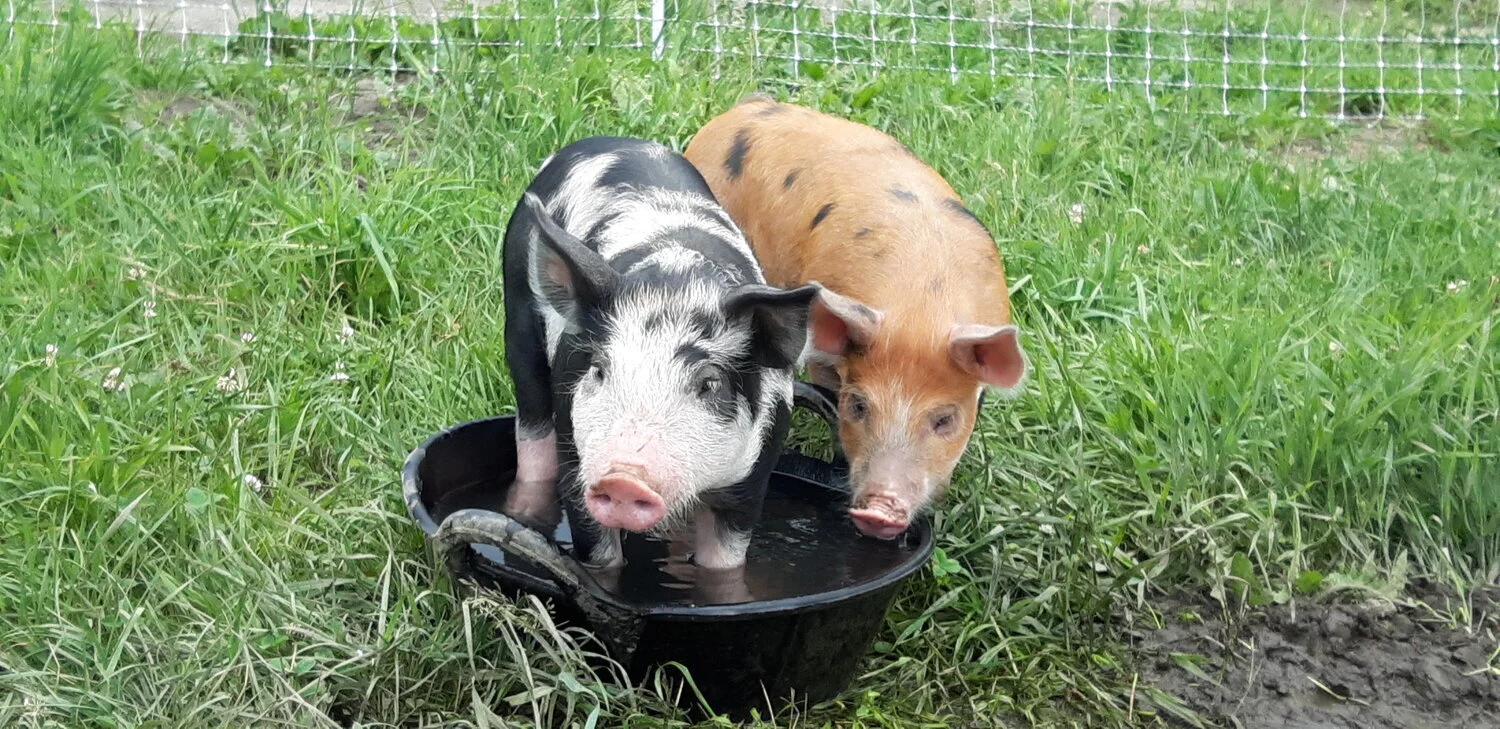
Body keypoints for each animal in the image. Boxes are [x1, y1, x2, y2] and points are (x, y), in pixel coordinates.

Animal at [501, 136, 819, 570]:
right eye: (599, 369)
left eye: (709, 383)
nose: (623, 478)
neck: (676, 284)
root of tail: (602, 141)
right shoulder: (577, 462)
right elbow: (601, 559)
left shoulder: (751, 479)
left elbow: (724, 562)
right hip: (518, 314)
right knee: (531, 424)